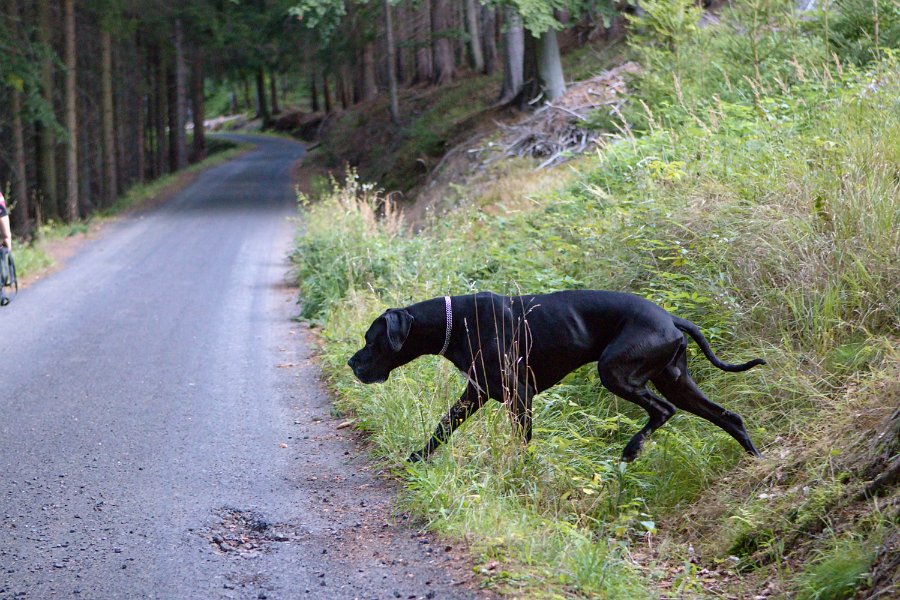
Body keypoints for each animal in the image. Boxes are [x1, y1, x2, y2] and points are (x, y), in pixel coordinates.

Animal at [346, 292, 768, 462]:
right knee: (728, 416)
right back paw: (755, 460)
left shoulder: (519, 394)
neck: (456, 322)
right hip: (676, 380)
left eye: (371, 339)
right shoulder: (476, 393)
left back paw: (632, 449)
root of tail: (671, 318)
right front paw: (417, 459)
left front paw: (520, 469)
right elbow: (442, 427)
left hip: (616, 371)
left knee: (662, 410)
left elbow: (522, 439)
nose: (351, 364)